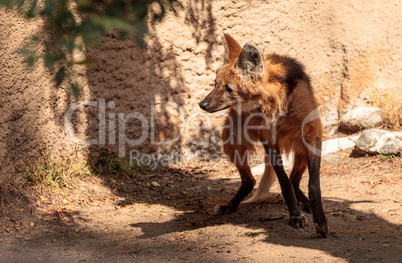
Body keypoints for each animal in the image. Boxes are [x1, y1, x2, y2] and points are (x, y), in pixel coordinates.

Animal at [199, 32, 328, 237]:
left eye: (229, 88)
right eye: (215, 84)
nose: (202, 104)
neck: (277, 107)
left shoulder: (311, 134)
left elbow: (313, 184)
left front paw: (320, 221)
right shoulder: (269, 139)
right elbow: (284, 182)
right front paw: (295, 215)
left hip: (299, 145)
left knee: (294, 179)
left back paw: (305, 203)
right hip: (233, 140)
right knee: (250, 180)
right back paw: (230, 205)